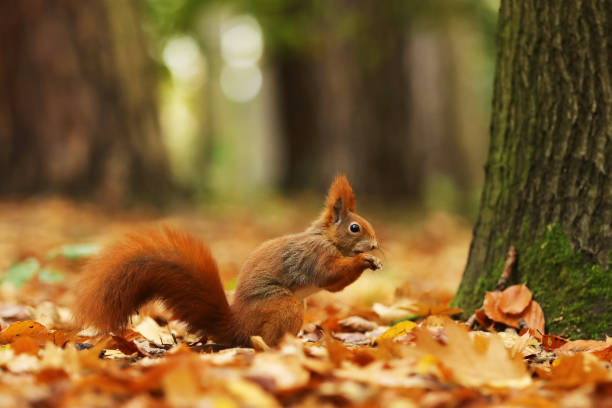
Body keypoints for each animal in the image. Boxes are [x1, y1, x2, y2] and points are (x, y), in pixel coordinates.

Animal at [74, 175, 380, 348]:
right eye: (355, 228)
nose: (376, 245)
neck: (326, 237)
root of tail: (238, 327)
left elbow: (334, 286)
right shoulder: (315, 255)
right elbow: (329, 276)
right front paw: (365, 260)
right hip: (285, 306)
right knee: (265, 340)